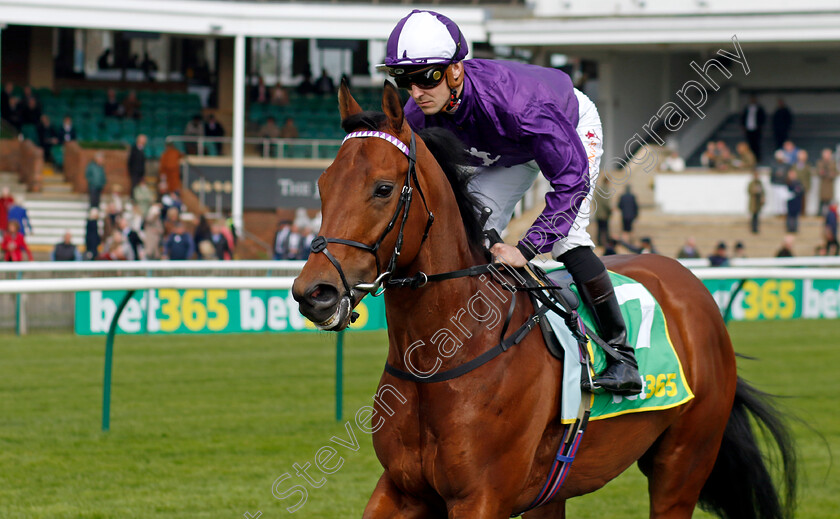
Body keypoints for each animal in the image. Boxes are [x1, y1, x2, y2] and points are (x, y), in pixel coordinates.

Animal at [292, 83, 796, 516]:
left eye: (382, 188)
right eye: (321, 185)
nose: (313, 293)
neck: (442, 359)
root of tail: (692, 287)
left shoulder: (482, 498)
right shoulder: (401, 489)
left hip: (683, 462)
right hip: (555, 491)